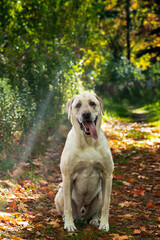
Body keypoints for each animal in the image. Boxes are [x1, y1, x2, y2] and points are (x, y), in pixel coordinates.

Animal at [55, 92, 114, 232]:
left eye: (92, 103)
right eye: (78, 105)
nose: (86, 114)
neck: (88, 142)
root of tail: (81, 214)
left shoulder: (107, 175)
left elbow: (106, 205)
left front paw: (104, 224)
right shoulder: (68, 176)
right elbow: (68, 206)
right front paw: (69, 225)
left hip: (99, 193)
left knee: (97, 210)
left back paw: (95, 220)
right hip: (60, 193)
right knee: (65, 208)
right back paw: (67, 219)